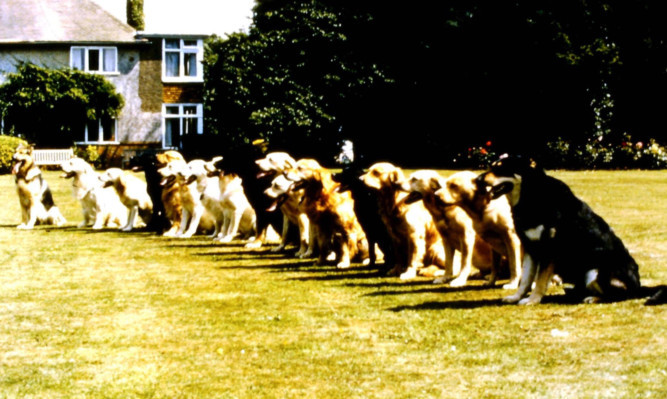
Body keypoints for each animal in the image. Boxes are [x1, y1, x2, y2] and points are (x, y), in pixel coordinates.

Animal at [332, 141, 394, 276]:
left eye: (346, 173)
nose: (332, 174)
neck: (365, 196)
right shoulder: (368, 230)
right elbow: (371, 250)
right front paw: (371, 264)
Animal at [478, 155, 644, 304]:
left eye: (501, 168)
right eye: (492, 166)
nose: (478, 180)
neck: (531, 195)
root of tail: (638, 286)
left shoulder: (548, 251)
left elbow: (539, 281)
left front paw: (532, 300)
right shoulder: (530, 249)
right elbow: (525, 280)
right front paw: (516, 297)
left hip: (594, 272)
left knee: (615, 296)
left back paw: (592, 298)